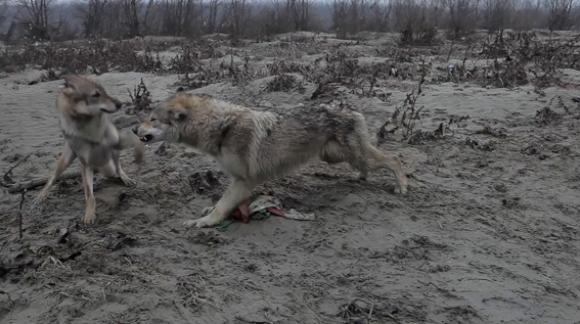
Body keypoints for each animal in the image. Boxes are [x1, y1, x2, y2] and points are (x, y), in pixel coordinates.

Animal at [136, 91, 408, 228]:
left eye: (152, 119)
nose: (133, 129)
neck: (221, 127)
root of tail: (353, 111)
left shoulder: (244, 180)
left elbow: (222, 206)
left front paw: (203, 222)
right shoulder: (238, 181)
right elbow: (223, 203)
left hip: (351, 156)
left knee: (394, 158)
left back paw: (401, 186)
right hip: (338, 157)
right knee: (375, 163)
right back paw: (362, 178)